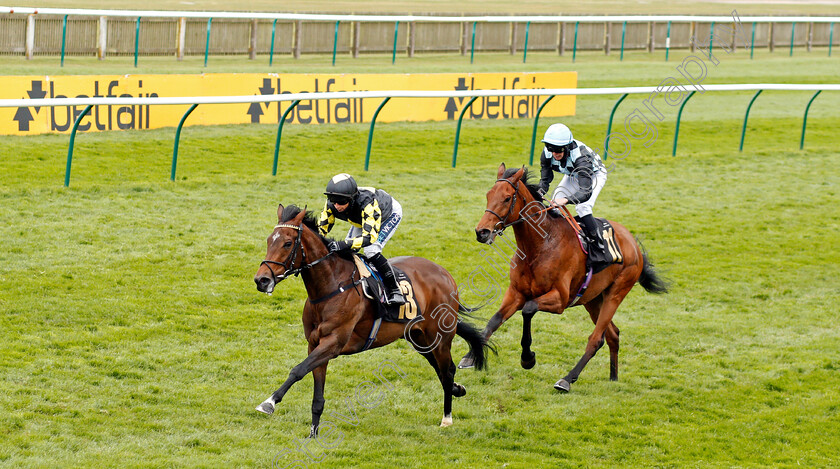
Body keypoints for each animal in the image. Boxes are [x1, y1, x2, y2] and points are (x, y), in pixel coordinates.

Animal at [254, 203, 492, 430]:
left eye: (287, 243)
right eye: (268, 240)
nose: (261, 280)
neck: (330, 287)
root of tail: (445, 274)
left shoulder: (333, 343)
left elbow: (298, 370)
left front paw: (269, 402)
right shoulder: (315, 344)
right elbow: (317, 398)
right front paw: (313, 435)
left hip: (439, 337)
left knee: (447, 370)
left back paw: (447, 418)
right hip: (419, 338)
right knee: (440, 369)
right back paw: (457, 390)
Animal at [456, 165, 668, 392]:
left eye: (506, 198)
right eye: (488, 195)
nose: (482, 232)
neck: (540, 246)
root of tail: (633, 243)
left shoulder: (560, 299)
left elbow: (528, 309)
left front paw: (527, 358)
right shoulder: (516, 292)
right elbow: (495, 320)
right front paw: (470, 357)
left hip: (616, 293)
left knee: (596, 338)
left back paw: (567, 379)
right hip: (593, 299)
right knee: (612, 334)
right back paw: (613, 377)